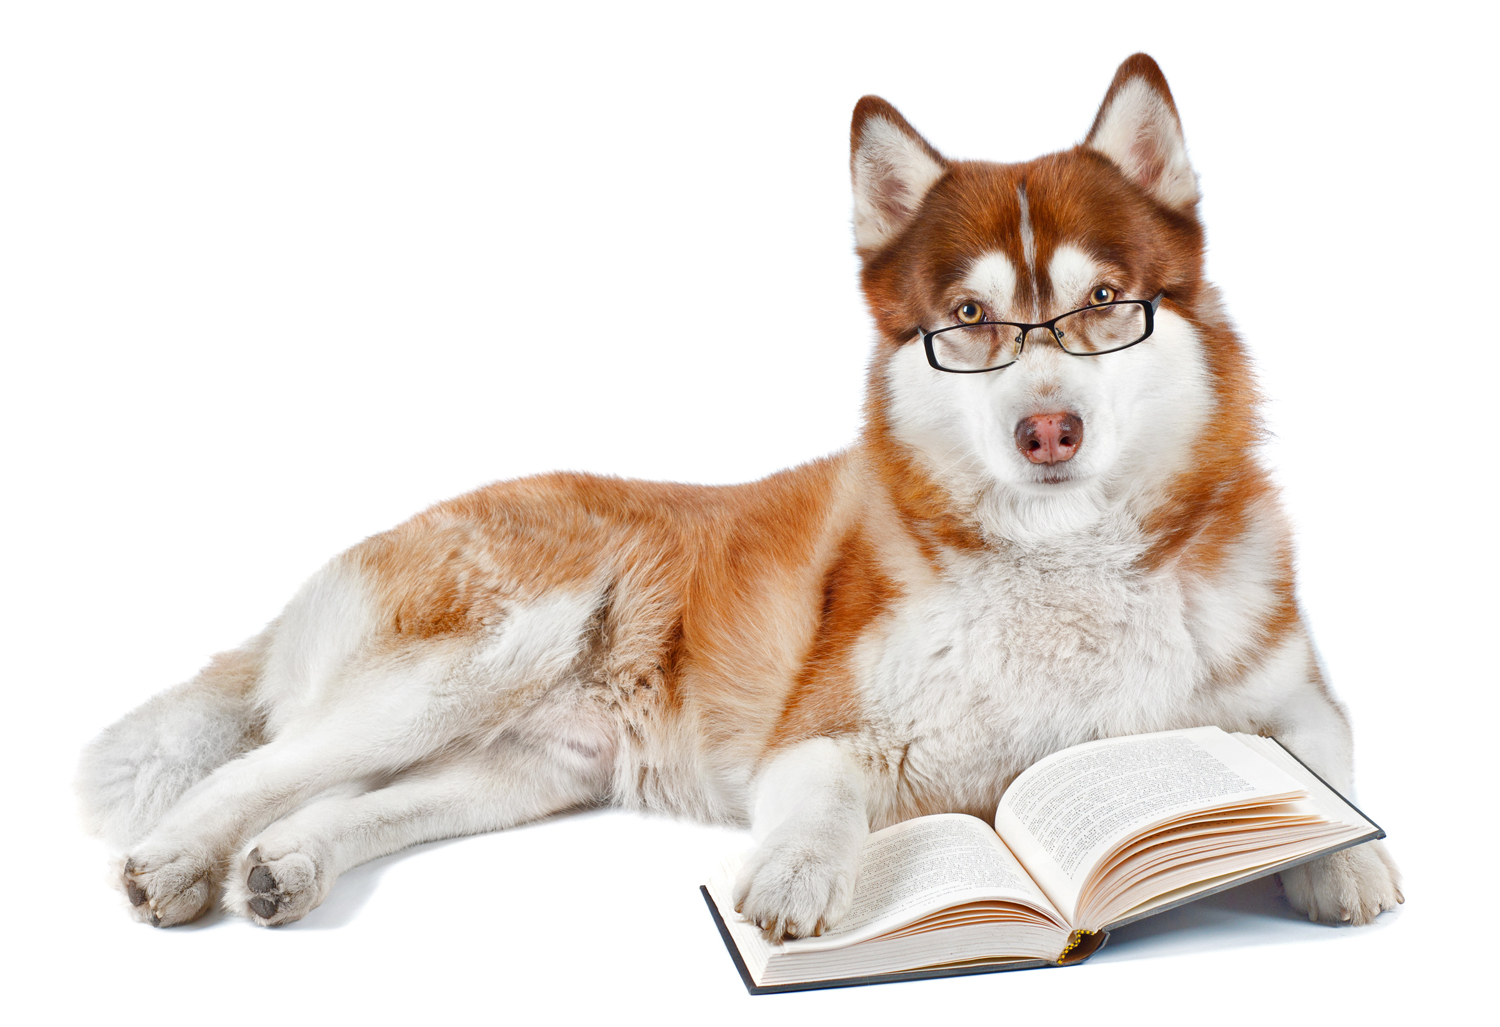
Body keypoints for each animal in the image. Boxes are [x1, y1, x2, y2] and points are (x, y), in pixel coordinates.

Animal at [79, 58, 1392, 935]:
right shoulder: (820, 731)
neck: (1061, 567)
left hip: (524, 765)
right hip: (486, 651)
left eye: (1105, 302)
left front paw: (1341, 853)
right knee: (262, 766)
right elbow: (818, 806)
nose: (1048, 427)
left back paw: (283, 865)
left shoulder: (1288, 685)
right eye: (969, 318)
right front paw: (797, 877)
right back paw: (179, 859)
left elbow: (1328, 749)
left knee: (350, 801)